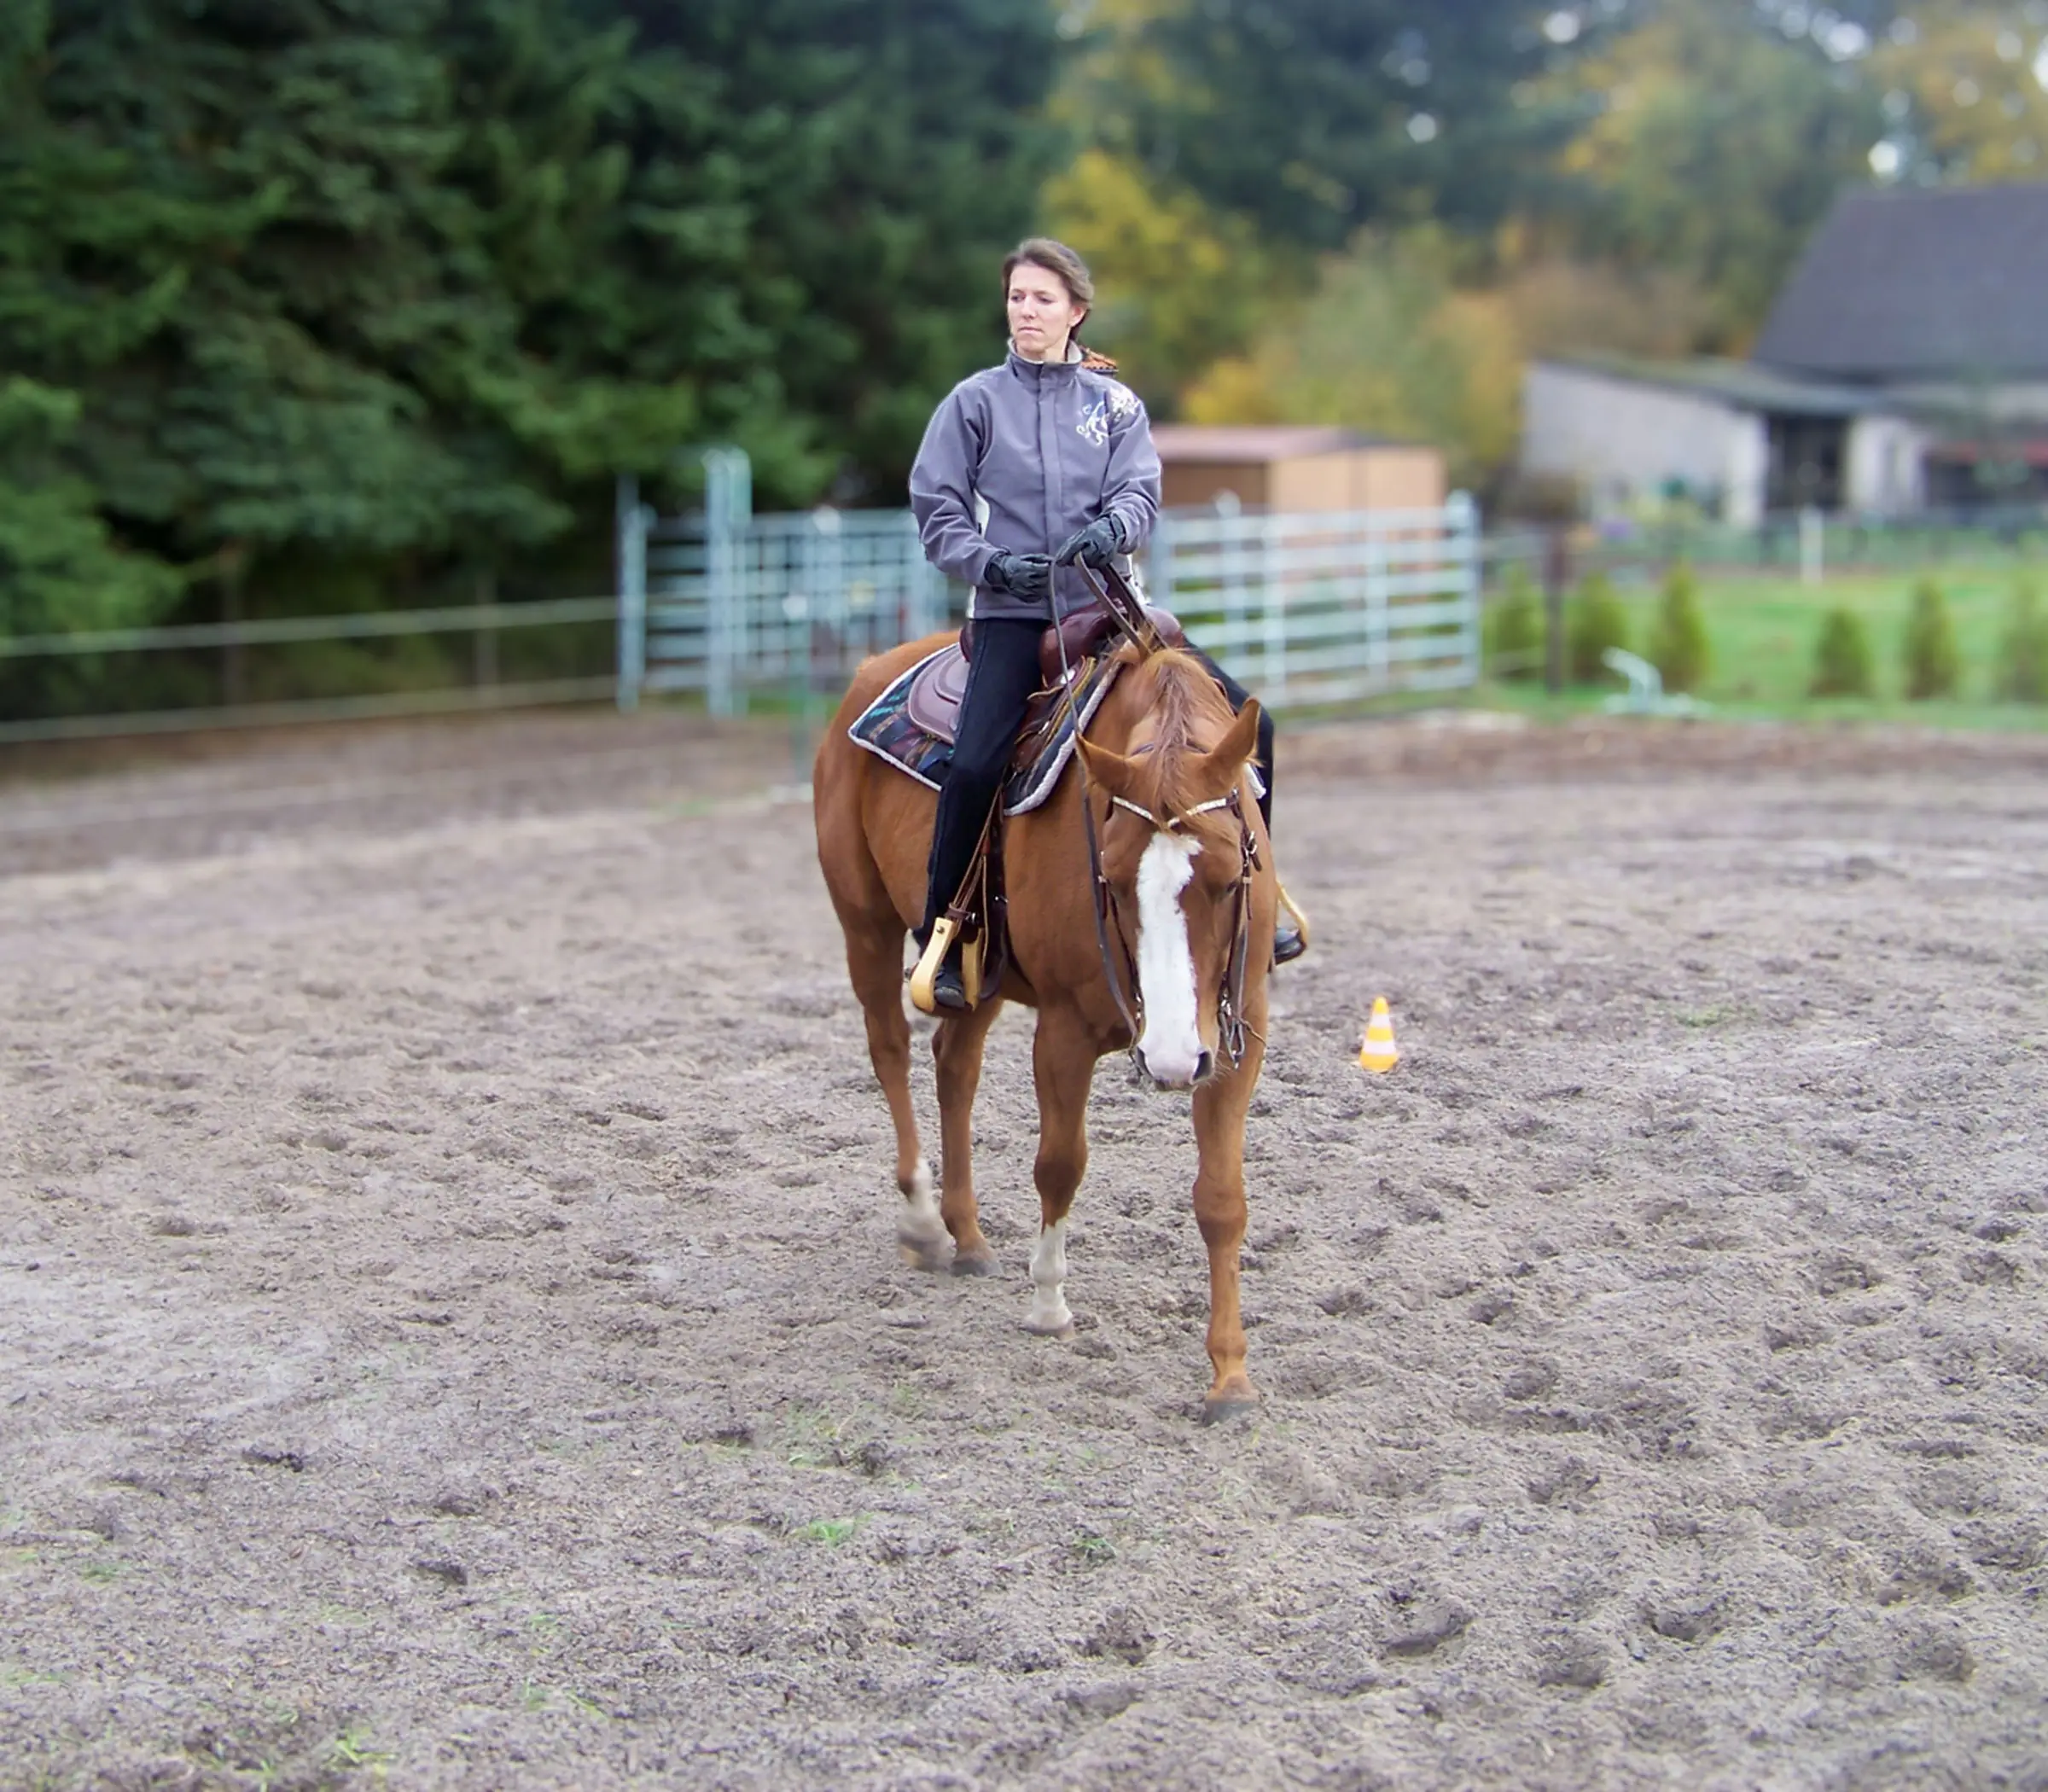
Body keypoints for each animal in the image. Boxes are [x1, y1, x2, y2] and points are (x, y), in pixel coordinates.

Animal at [806, 643, 1270, 1417]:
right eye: (1109, 878)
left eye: (1233, 876)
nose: (1171, 1061)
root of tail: (873, 667)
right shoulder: (1063, 1029)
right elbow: (1059, 1163)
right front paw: (1049, 1301)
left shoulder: (1236, 1032)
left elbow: (1222, 1200)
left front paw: (1230, 1375)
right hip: (862, 922)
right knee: (892, 1052)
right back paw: (924, 1222)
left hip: (978, 969)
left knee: (954, 1065)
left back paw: (967, 1236)